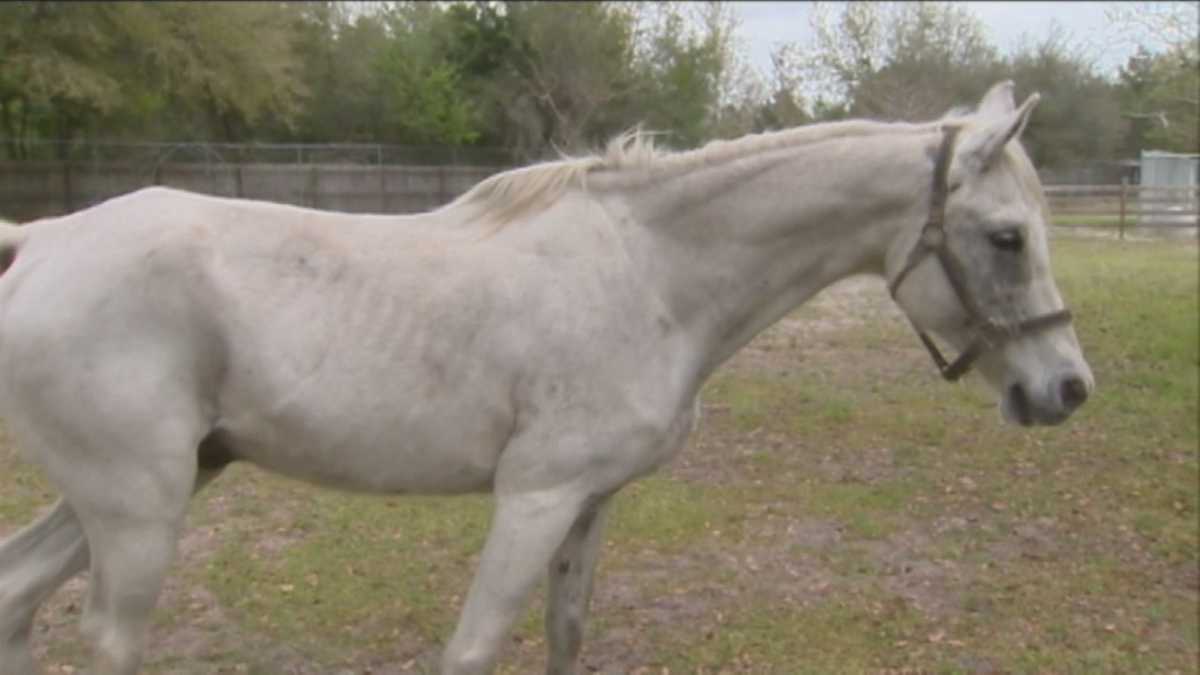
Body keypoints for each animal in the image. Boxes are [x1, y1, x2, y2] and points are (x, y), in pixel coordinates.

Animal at [0, 81, 1091, 674]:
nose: (1067, 390)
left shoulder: (589, 502)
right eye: (1006, 237)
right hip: (139, 511)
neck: (650, 273)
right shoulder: (534, 497)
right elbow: (474, 647)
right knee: (105, 636)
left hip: (145, 489)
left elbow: (567, 632)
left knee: (16, 593)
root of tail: (41, 238)